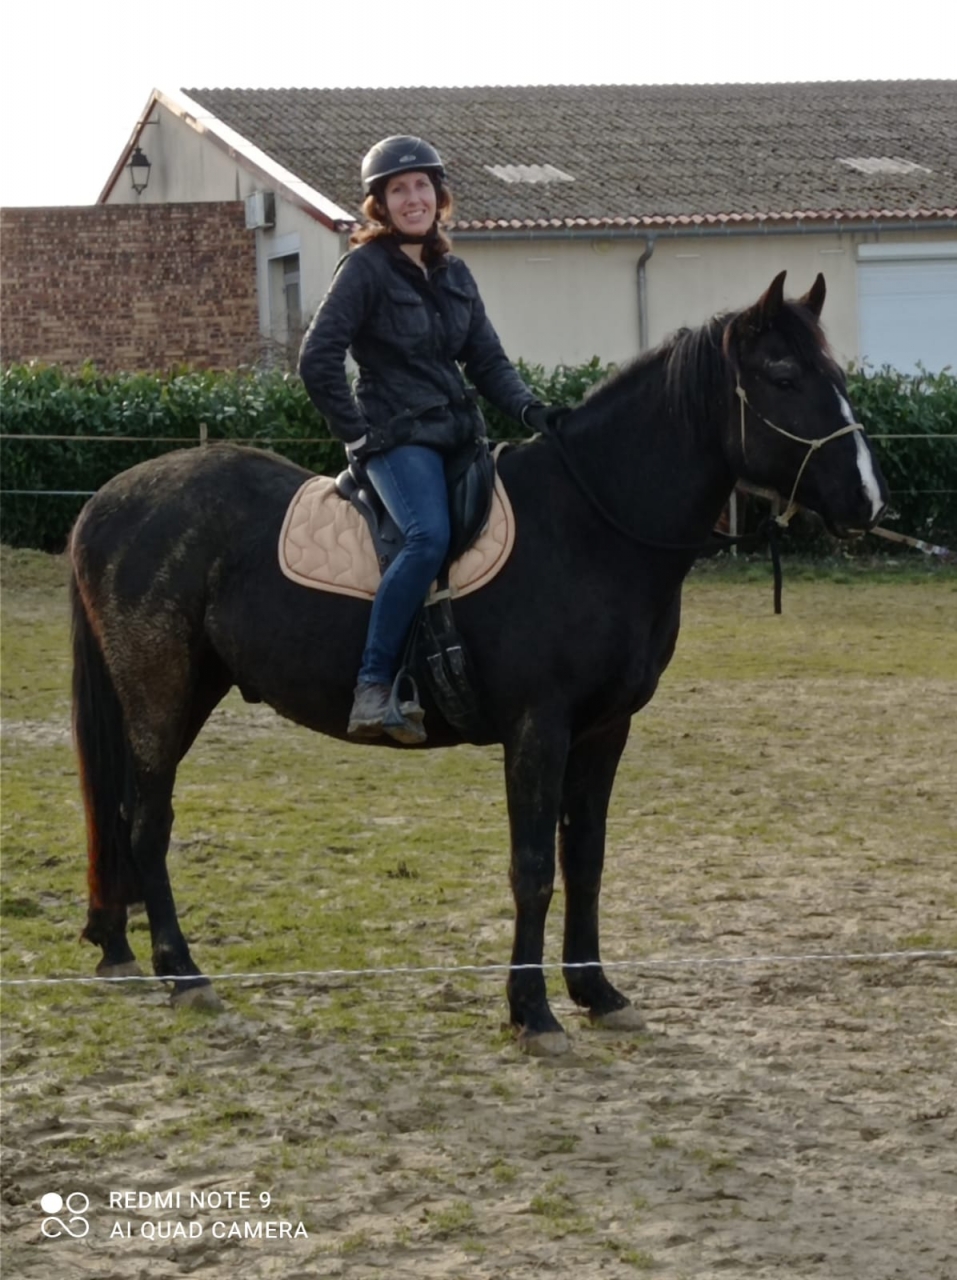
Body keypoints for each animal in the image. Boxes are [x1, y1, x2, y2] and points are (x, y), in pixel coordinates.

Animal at [69, 271, 888, 1055]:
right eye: (782, 374)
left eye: (835, 372)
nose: (867, 500)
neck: (590, 525)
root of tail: (107, 500)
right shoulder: (538, 728)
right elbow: (532, 867)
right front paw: (533, 1012)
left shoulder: (603, 731)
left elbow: (583, 858)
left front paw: (597, 993)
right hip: (159, 693)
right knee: (147, 821)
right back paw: (183, 973)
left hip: (188, 690)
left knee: (125, 817)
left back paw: (118, 948)